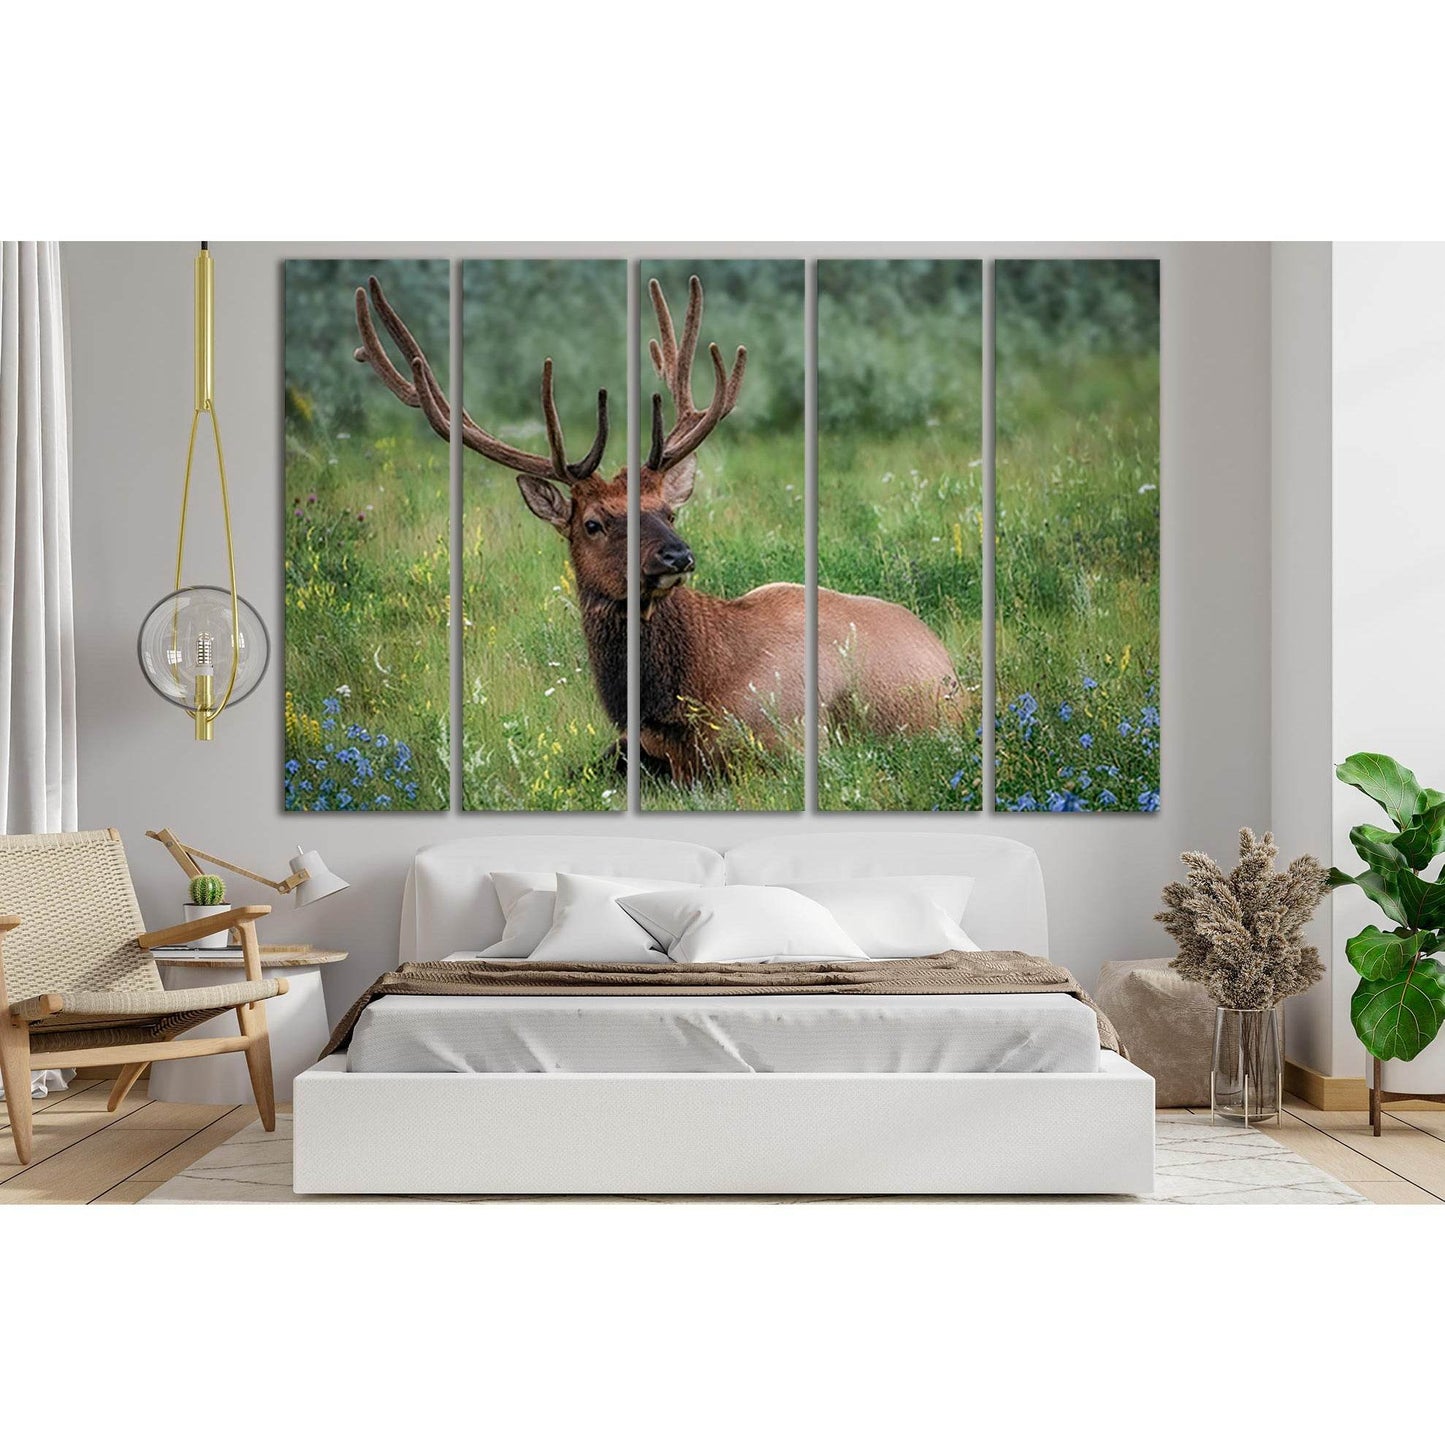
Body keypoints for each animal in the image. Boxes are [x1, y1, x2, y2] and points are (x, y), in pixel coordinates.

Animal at [353, 273, 960, 785]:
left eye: (668, 511)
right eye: (593, 523)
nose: (677, 557)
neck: (679, 698)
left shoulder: (790, 740)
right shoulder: (633, 744)